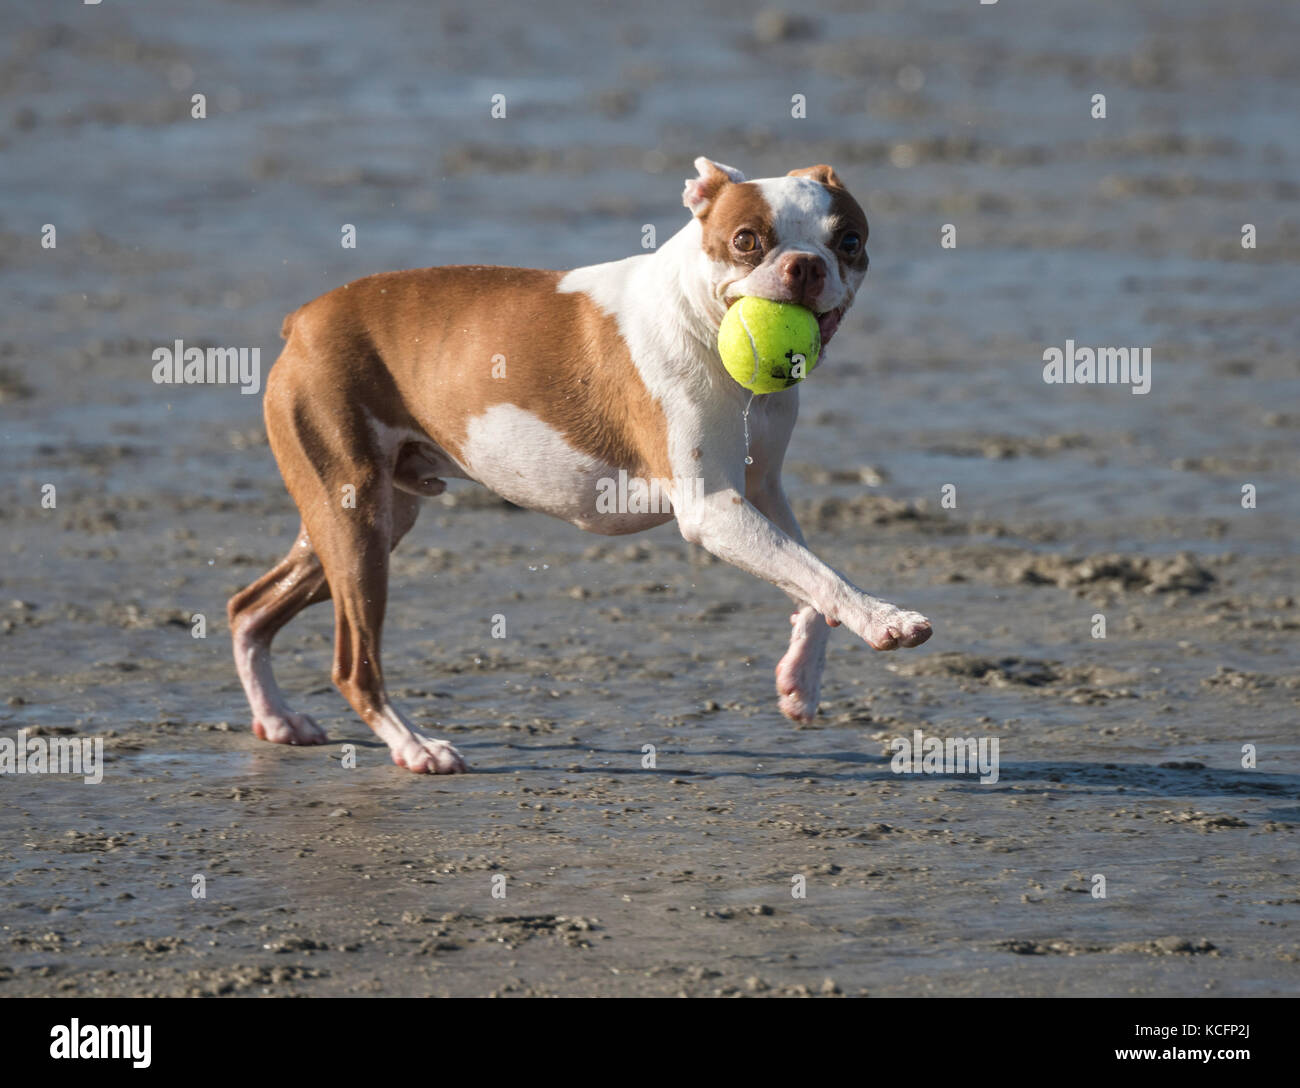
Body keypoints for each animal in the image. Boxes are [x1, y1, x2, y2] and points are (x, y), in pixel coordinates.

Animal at [226, 159, 935, 774]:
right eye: (746, 240)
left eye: (848, 240)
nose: (805, 265)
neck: (700, 317)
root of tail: (304, 320)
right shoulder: (714, 510)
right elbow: (819, 573)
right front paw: (886, 620)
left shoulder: (761, 493)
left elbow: (810, 576)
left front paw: (799, 683)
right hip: (356, 521)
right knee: (353, 664)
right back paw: (415, 747)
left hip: (367, 518)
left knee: (248, 607)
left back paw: (279, 719)